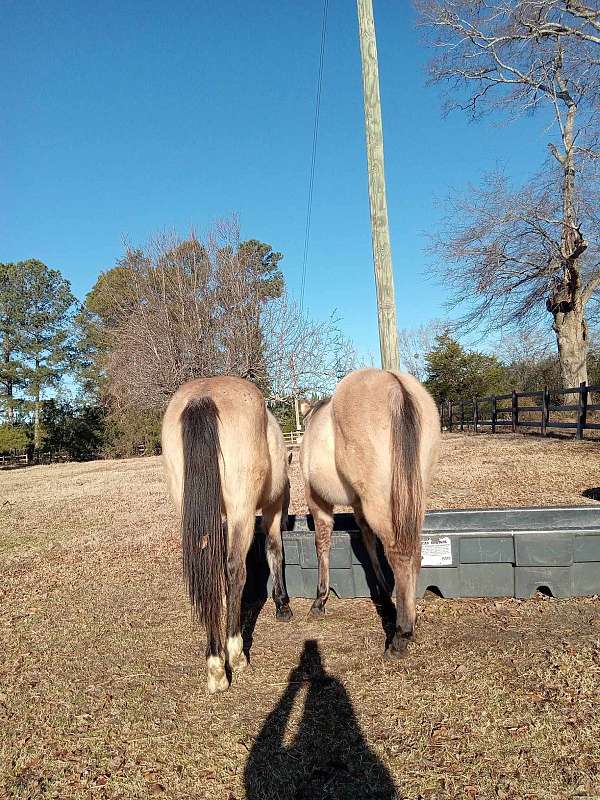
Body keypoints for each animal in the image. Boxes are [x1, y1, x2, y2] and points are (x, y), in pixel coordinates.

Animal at [159, 376, 290, 692]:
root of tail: (202, 397)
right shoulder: (272, 507)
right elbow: (274, 550)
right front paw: (282, 604)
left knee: (212, 573)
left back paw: (215, 662)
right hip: (242, 511)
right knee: (234, 570)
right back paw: (232, 656)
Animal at [300, 368, 440, 656]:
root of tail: (395, 384)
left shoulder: (316, 500)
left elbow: (322, 544)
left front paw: (320, 600)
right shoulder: (358, 504)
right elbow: (368, 541)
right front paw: (384, 594)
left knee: (400, 554)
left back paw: (401, 635)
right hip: (411, 499)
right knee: (414, 552)